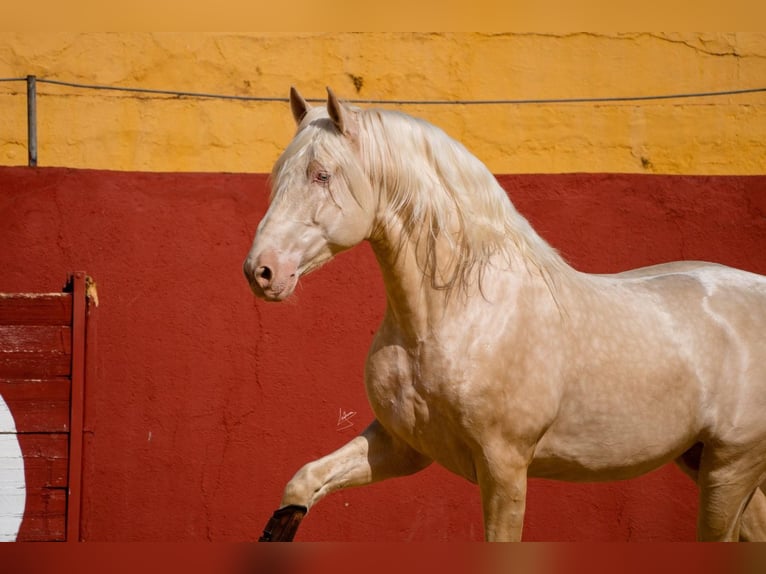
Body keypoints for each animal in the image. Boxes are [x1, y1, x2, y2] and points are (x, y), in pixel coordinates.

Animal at [244, 88, 766, 544]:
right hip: (704, 461)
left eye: (322, 175)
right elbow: (302, 483)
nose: (261, 271)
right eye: (279, 173)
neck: (457, 316)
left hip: (729, 467)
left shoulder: (504, 467)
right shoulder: (399, 447)